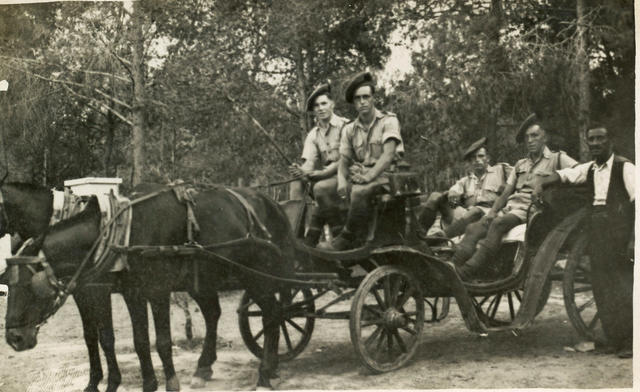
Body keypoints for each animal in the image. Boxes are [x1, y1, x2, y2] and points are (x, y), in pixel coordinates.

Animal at [3, 183, 296, 388]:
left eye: (30, 285)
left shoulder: (146, 291)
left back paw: (265, 374)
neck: (119, 234)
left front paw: (161, 383)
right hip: (205, 280)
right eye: (9, 281)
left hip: (256, 277)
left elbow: (154, 341)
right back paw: (210, 368)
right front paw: (139, 384)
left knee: (272, 314)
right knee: (219, 313)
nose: (14, 338)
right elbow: (132, 340)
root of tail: (271, 202)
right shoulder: (126, 292)